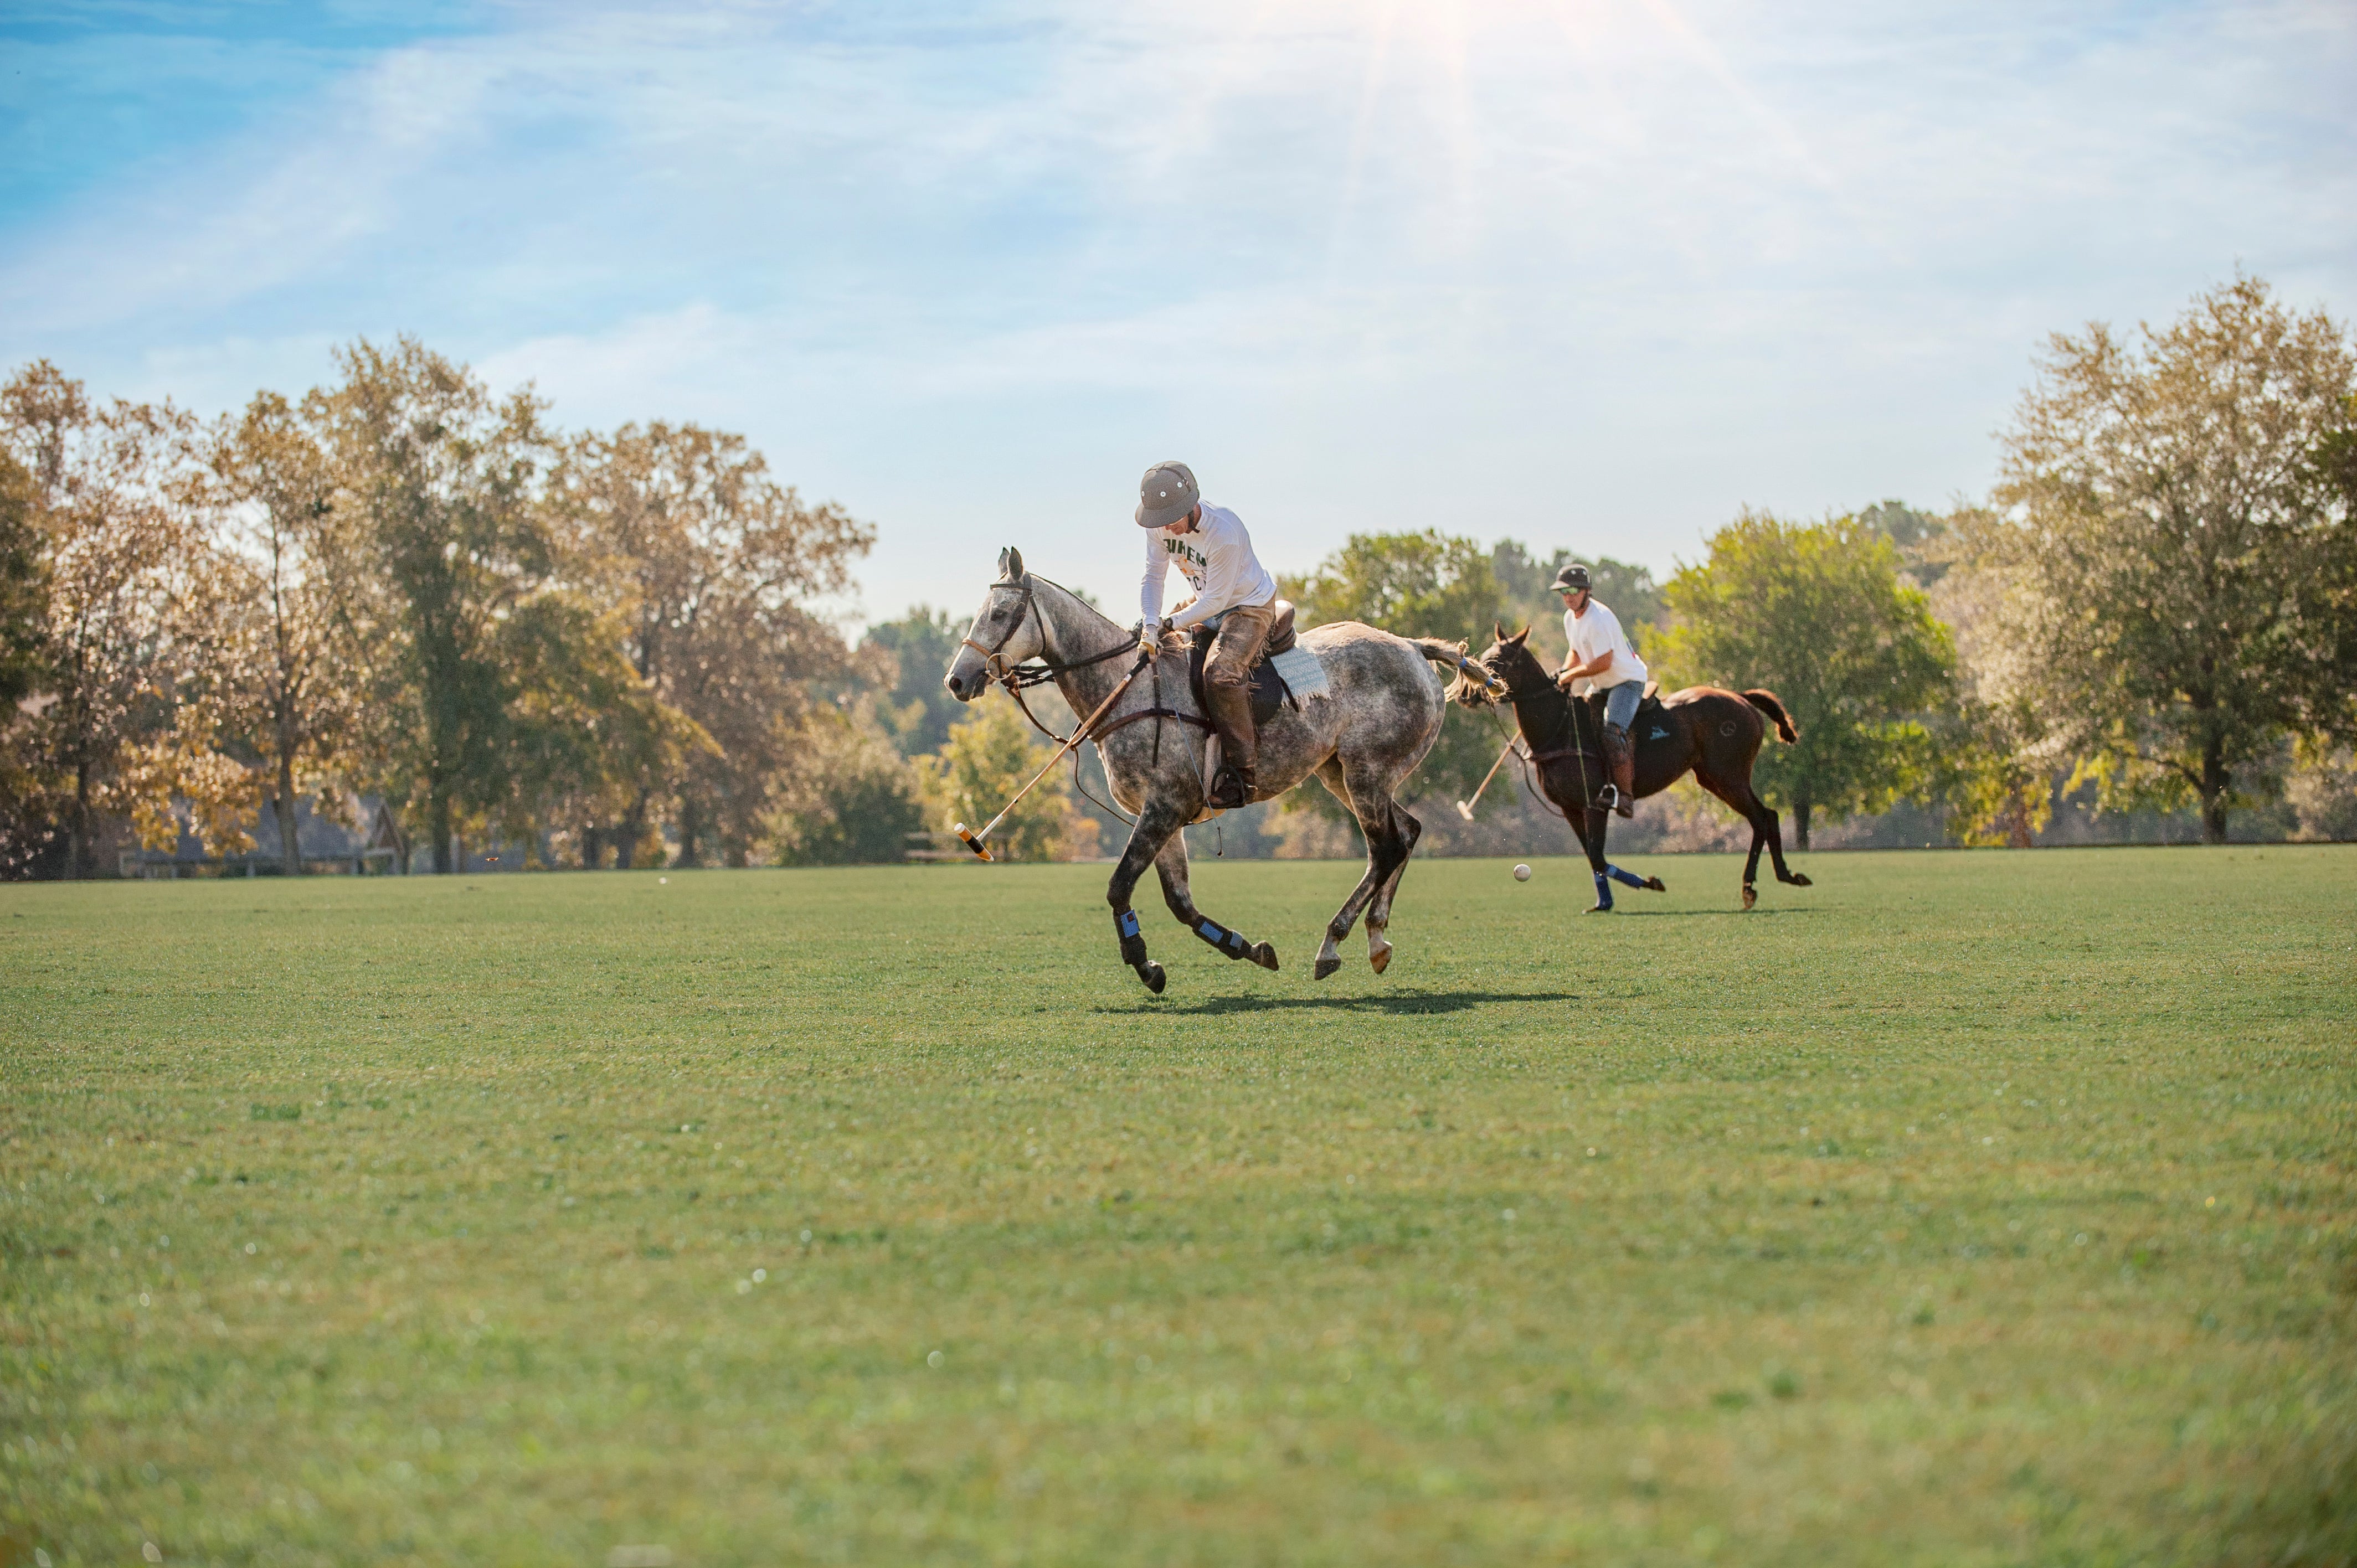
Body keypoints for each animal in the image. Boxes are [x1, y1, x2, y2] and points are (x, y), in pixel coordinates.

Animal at [943, 549, 1480, 990]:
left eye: (999, 613)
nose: (957, 681)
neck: (1125, 688)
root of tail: (1413, 648)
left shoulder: (1164, 807)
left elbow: (1119, 886)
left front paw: (1144, 964)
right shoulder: (1159, 813)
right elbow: (1179, 901)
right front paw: (1247, 949)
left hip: (1367, 769)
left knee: (1385, 847)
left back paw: (1332, 944)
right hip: (1340, 771)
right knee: (1406, 833)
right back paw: (1376, 940)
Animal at [1452, 622, 1819, 910]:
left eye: (1497, 662)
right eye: (1483, 657)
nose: (1466, 696)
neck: (1558, 727)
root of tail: (1741, 697)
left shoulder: (1593, 802)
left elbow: (1598, 856)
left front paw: (1650, 883)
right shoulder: (1571, 807)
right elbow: (1592, 857)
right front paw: (1604, 903)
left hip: (1729, 774)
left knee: (1764, 817)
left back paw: (1761, 884)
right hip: (1712, 777)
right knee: (1764, 818)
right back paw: (1771, 881)